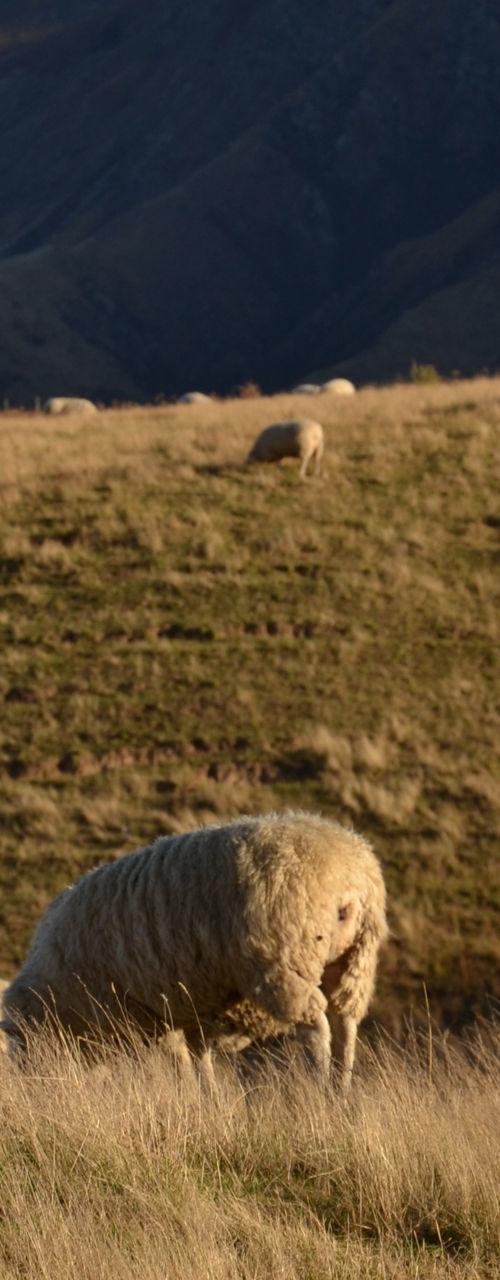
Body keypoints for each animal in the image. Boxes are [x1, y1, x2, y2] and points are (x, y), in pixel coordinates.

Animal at [1, 811, 387, 1089]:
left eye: (20, 1050)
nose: (35, 1089)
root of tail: (350, 875)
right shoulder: (186, 1014)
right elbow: (199, 1060)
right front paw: (210, 1098)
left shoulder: (146, 1016)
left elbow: (181, 1066)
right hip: (356, 961)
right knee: (344, 1024)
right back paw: (340, 1089)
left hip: (286, 961)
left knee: (315, 1026)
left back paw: (321, 1084)